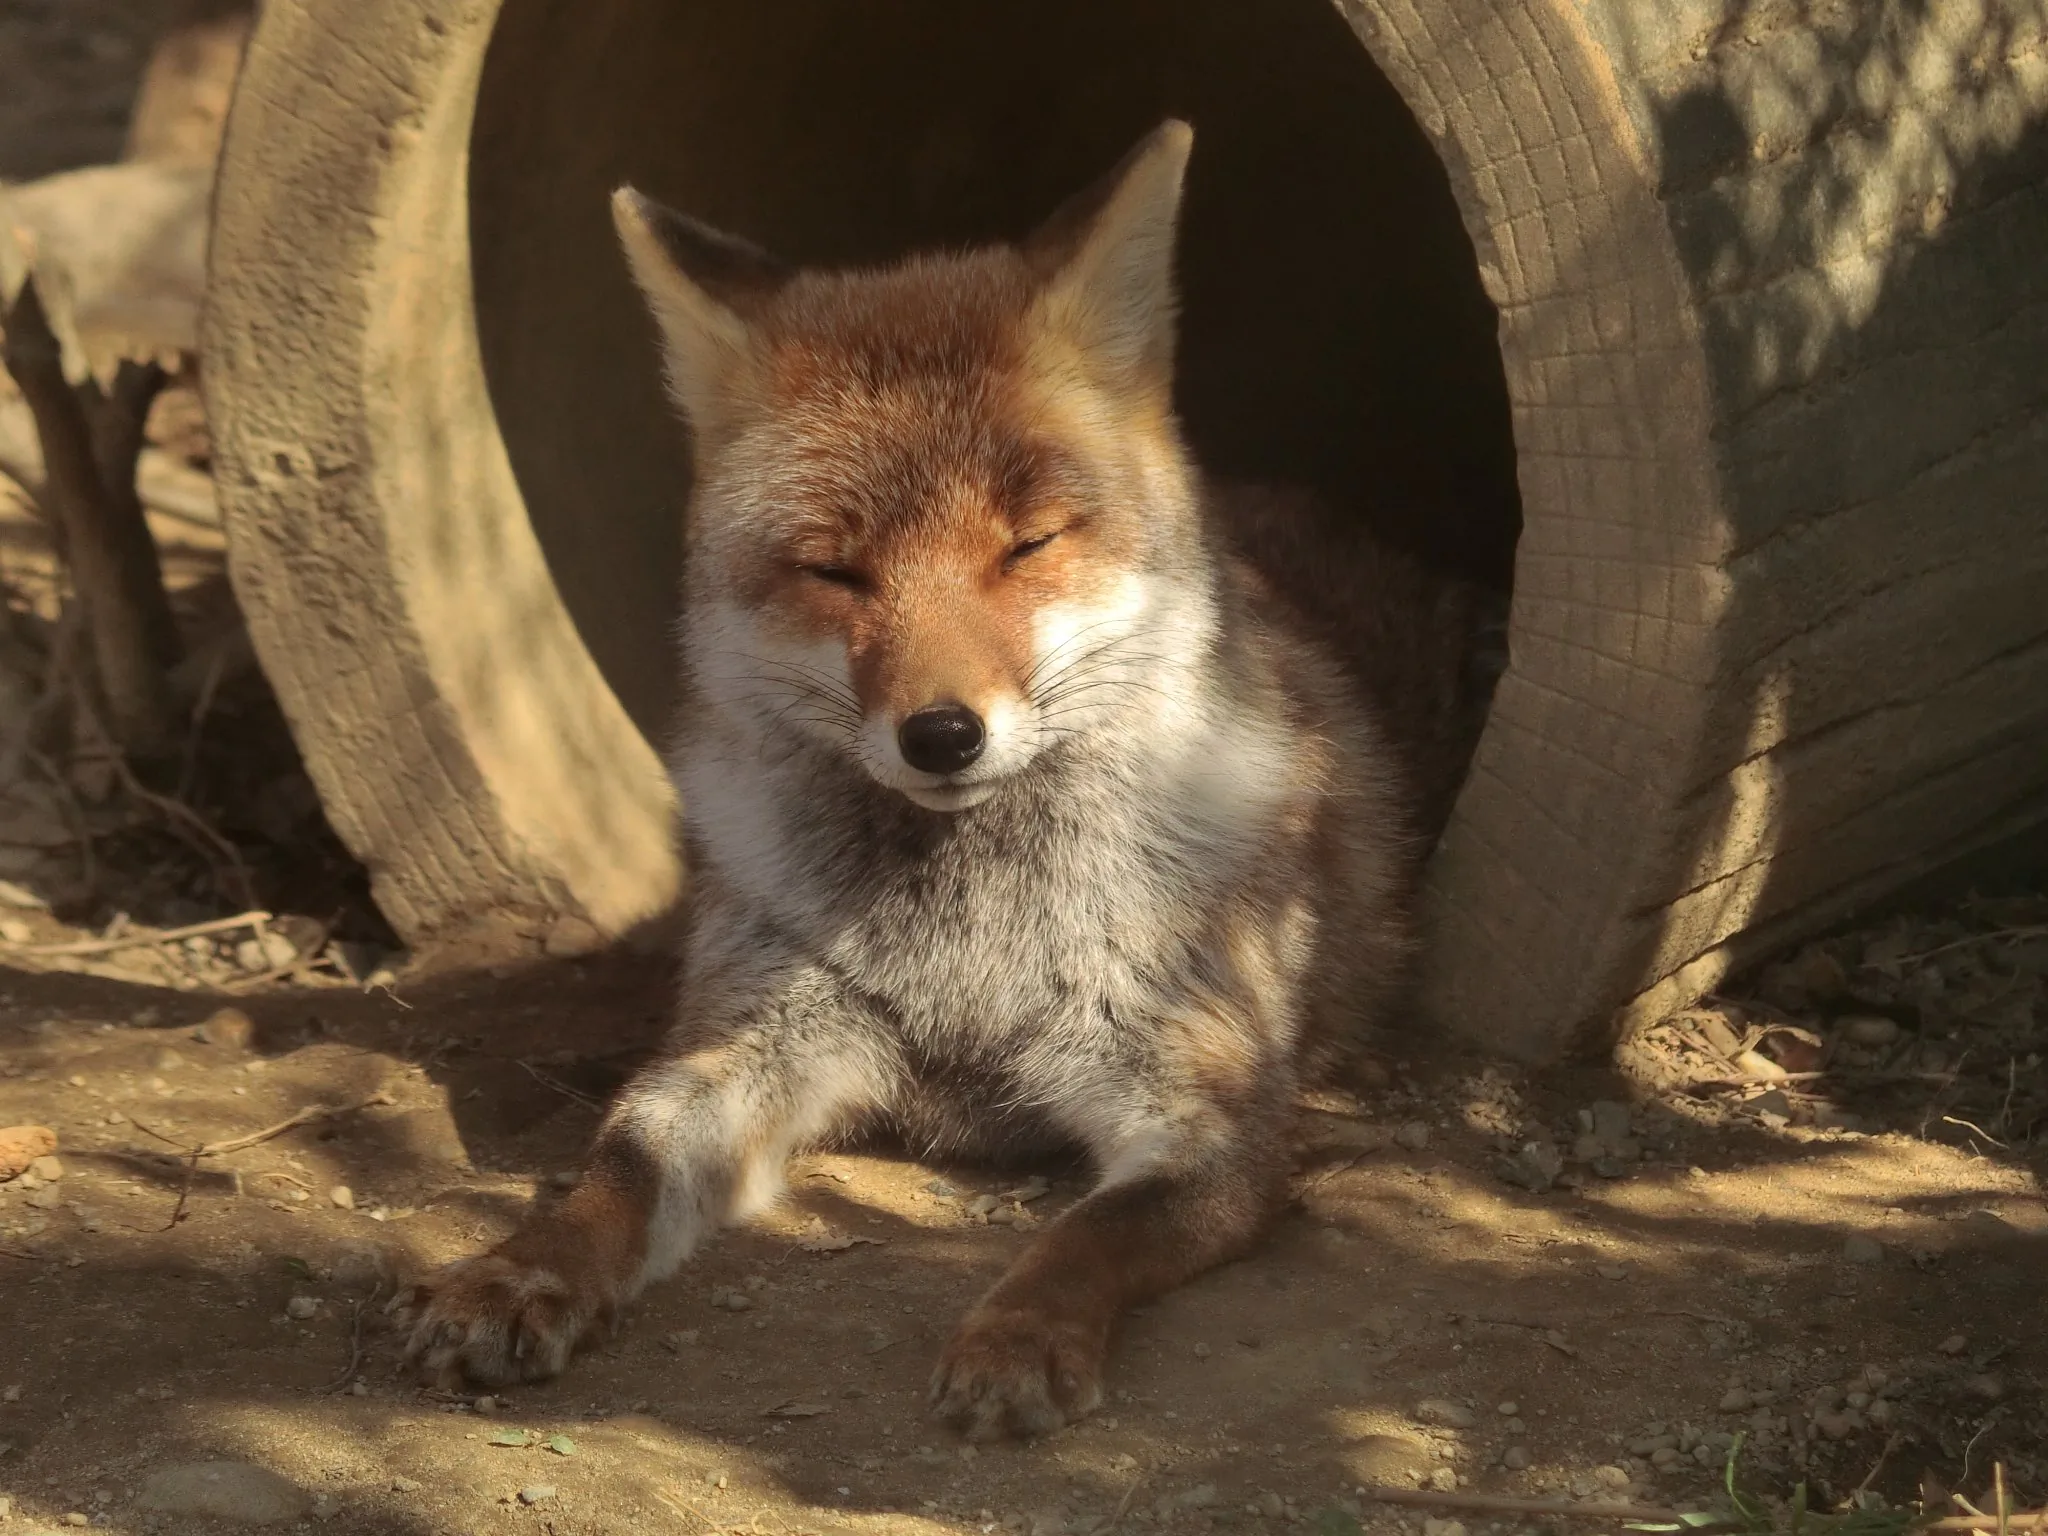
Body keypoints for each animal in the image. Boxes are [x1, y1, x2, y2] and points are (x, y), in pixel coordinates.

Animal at [394, 119, 1498, 1440]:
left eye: (1027, 545)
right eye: (835, 571)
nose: (941, 735)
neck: (967, 953)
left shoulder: (1205, 1114)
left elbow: (1080, 1237)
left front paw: (1016, 1337)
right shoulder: (757, 1040)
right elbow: (618, 1160)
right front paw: (523, 1269)